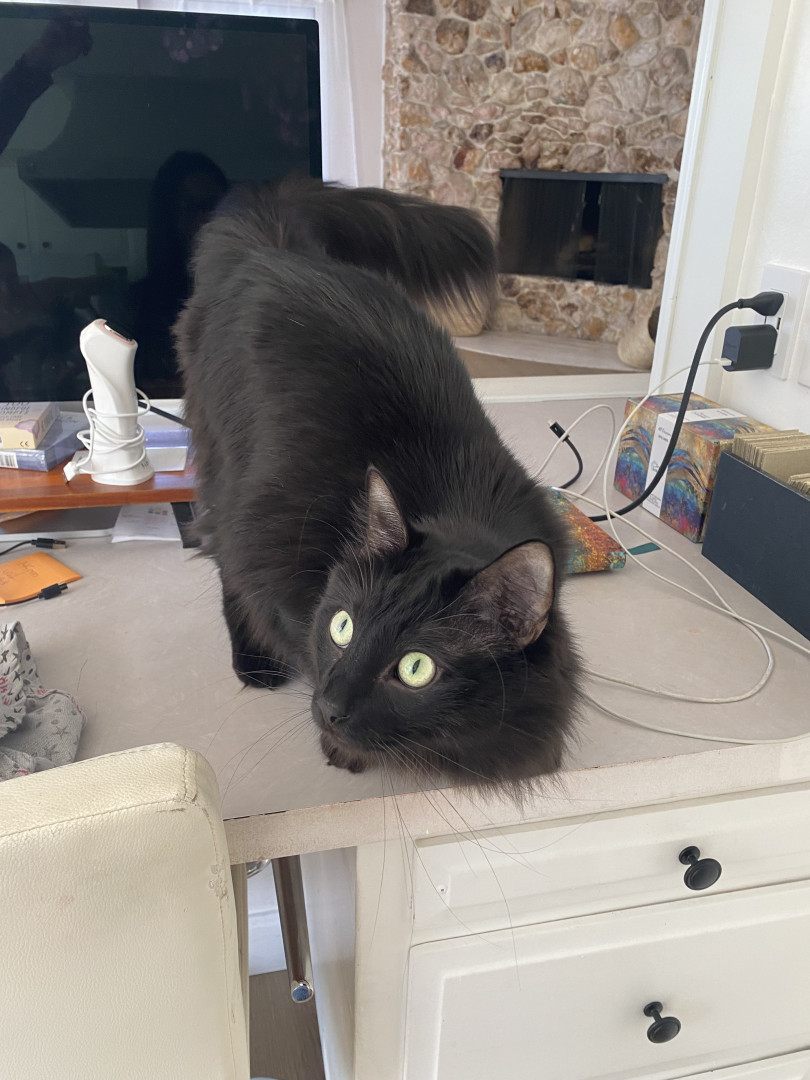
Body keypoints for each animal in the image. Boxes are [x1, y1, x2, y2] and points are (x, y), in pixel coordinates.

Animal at [175, 177, 580, 787]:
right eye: (342, 627)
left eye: (415, 668)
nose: (329, 706)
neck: (458, 509)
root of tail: (273, 246)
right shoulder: (275, 555)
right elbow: (293, 632)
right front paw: (341, 747)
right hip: (225, 467)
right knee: (223, 560)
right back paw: (256, 665)